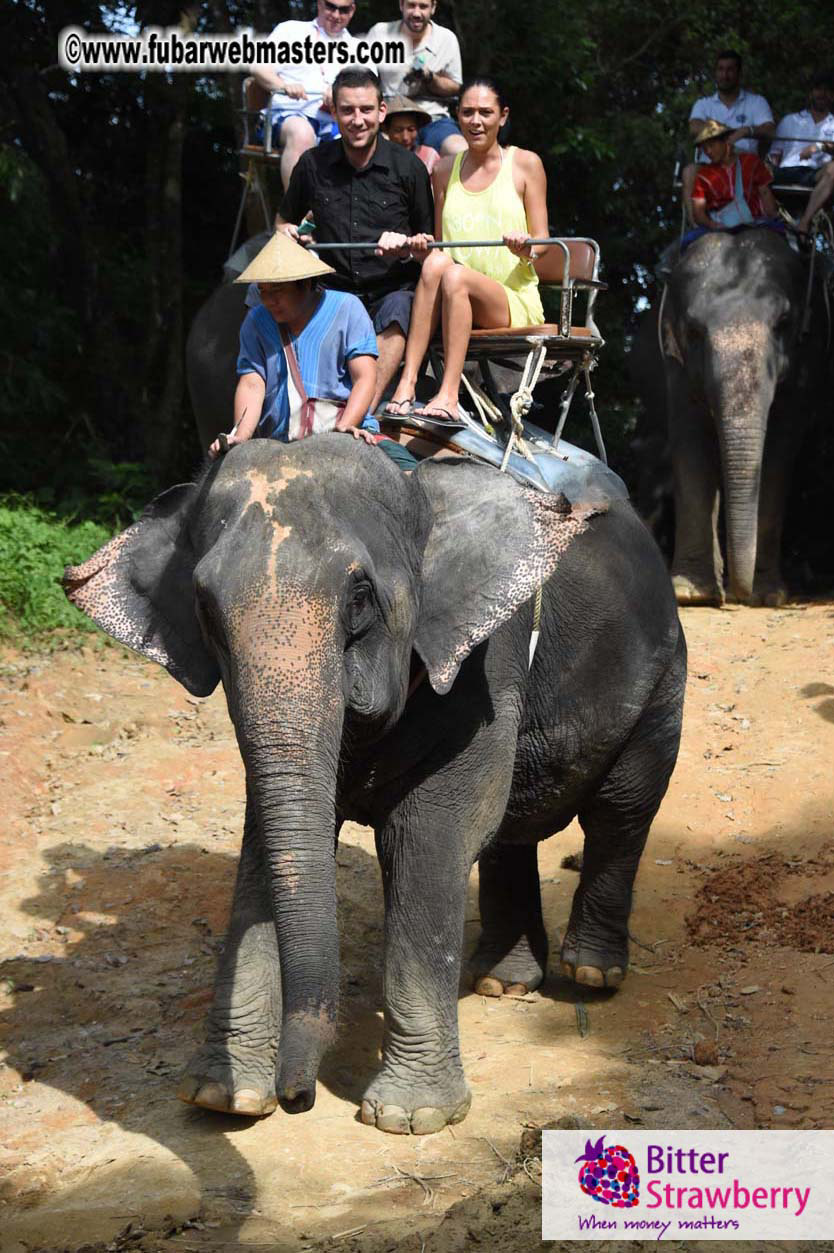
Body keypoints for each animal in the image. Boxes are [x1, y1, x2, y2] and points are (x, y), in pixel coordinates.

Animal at [63, 436, 686, 1134]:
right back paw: (502, 982)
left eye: (359, 598)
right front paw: (224, 1099)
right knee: (513, 831)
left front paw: (409, 1117)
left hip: (663, 673)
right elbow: (264, 846)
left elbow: (430, 833)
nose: (298, 1097)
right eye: (204, 611)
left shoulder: (484, 662)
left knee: (620, 810)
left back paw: (590, 976)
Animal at [658, 227, 829, 605]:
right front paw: (689, 593)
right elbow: (689, 438)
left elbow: (780, 450)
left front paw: (768, 597)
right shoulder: (675, 362)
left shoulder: (806, 360)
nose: (736, 594)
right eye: (693, 331)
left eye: (783, 324)